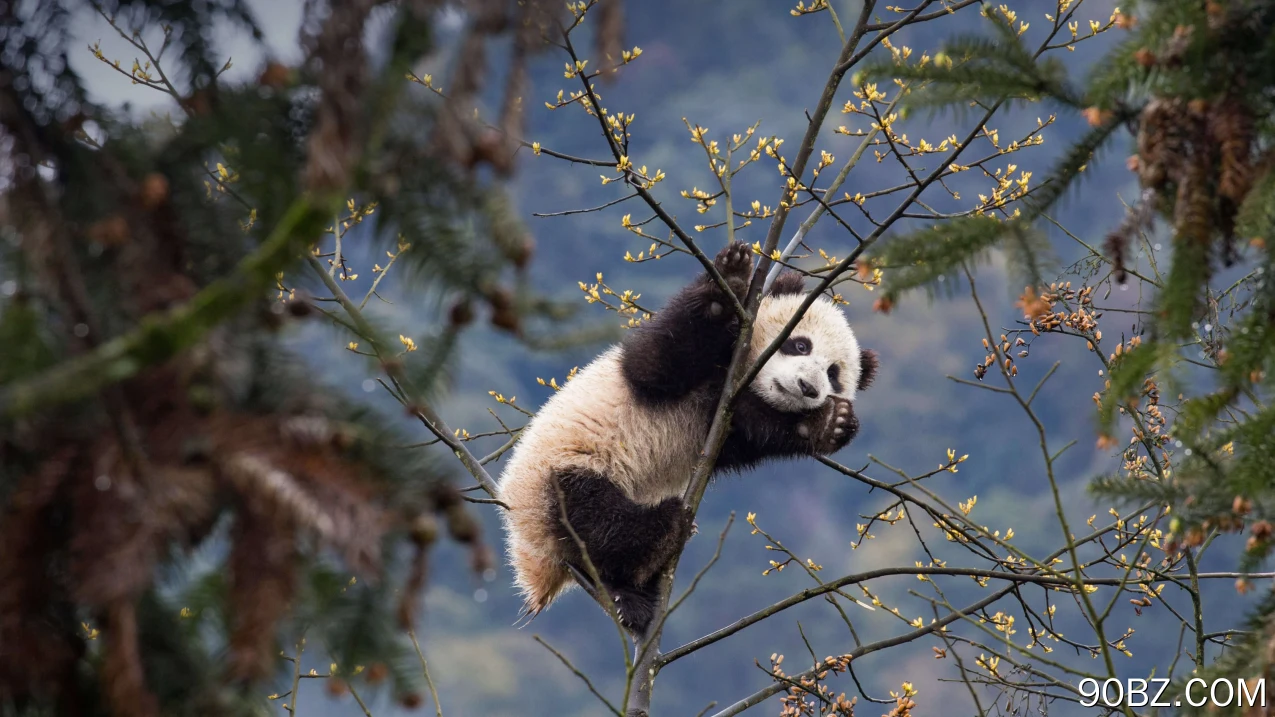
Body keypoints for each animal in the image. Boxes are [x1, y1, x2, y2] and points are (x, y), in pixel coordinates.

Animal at [497, 239, 877, 630]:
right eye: (800, 345)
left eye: (833, 375)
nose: (807, 387)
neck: (739, 374)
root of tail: (535, 562)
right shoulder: (665, 369)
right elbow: (657, 362)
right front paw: (731, 278)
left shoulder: (726, 418)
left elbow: (753, 432)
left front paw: (829, 423)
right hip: (559, 473)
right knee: (593, 518)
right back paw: (662, 533)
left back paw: (635, 589)